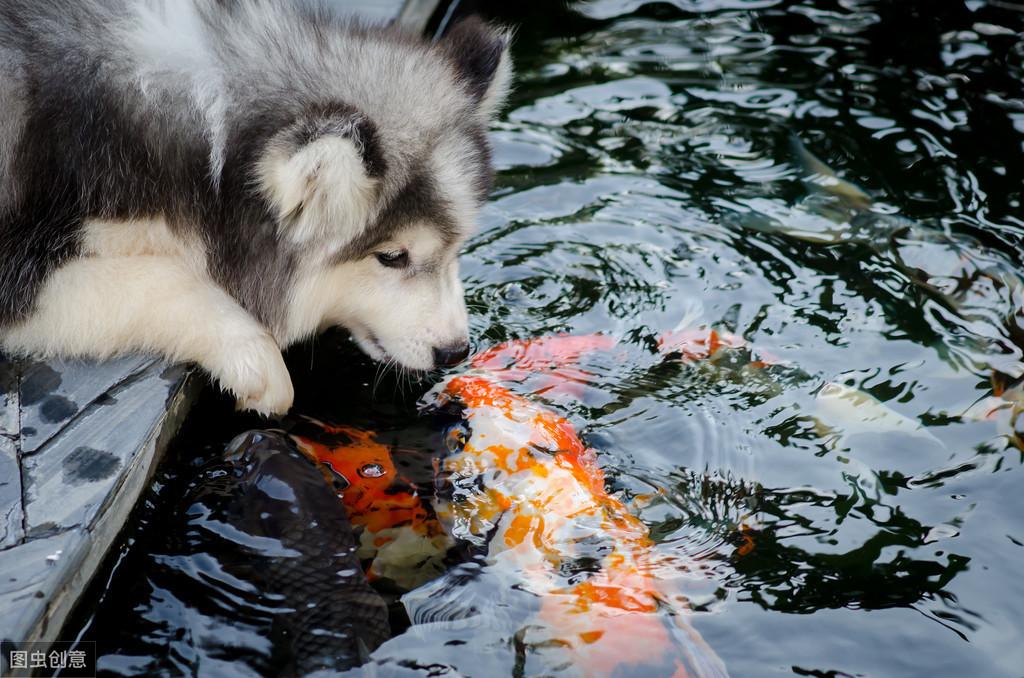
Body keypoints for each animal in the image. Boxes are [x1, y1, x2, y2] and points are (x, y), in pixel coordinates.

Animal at [0, 0, 512, 417]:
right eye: (391, 257)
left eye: (456, 248)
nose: (455, 351)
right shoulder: (19, 265)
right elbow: (156, 279)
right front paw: (253, 355)